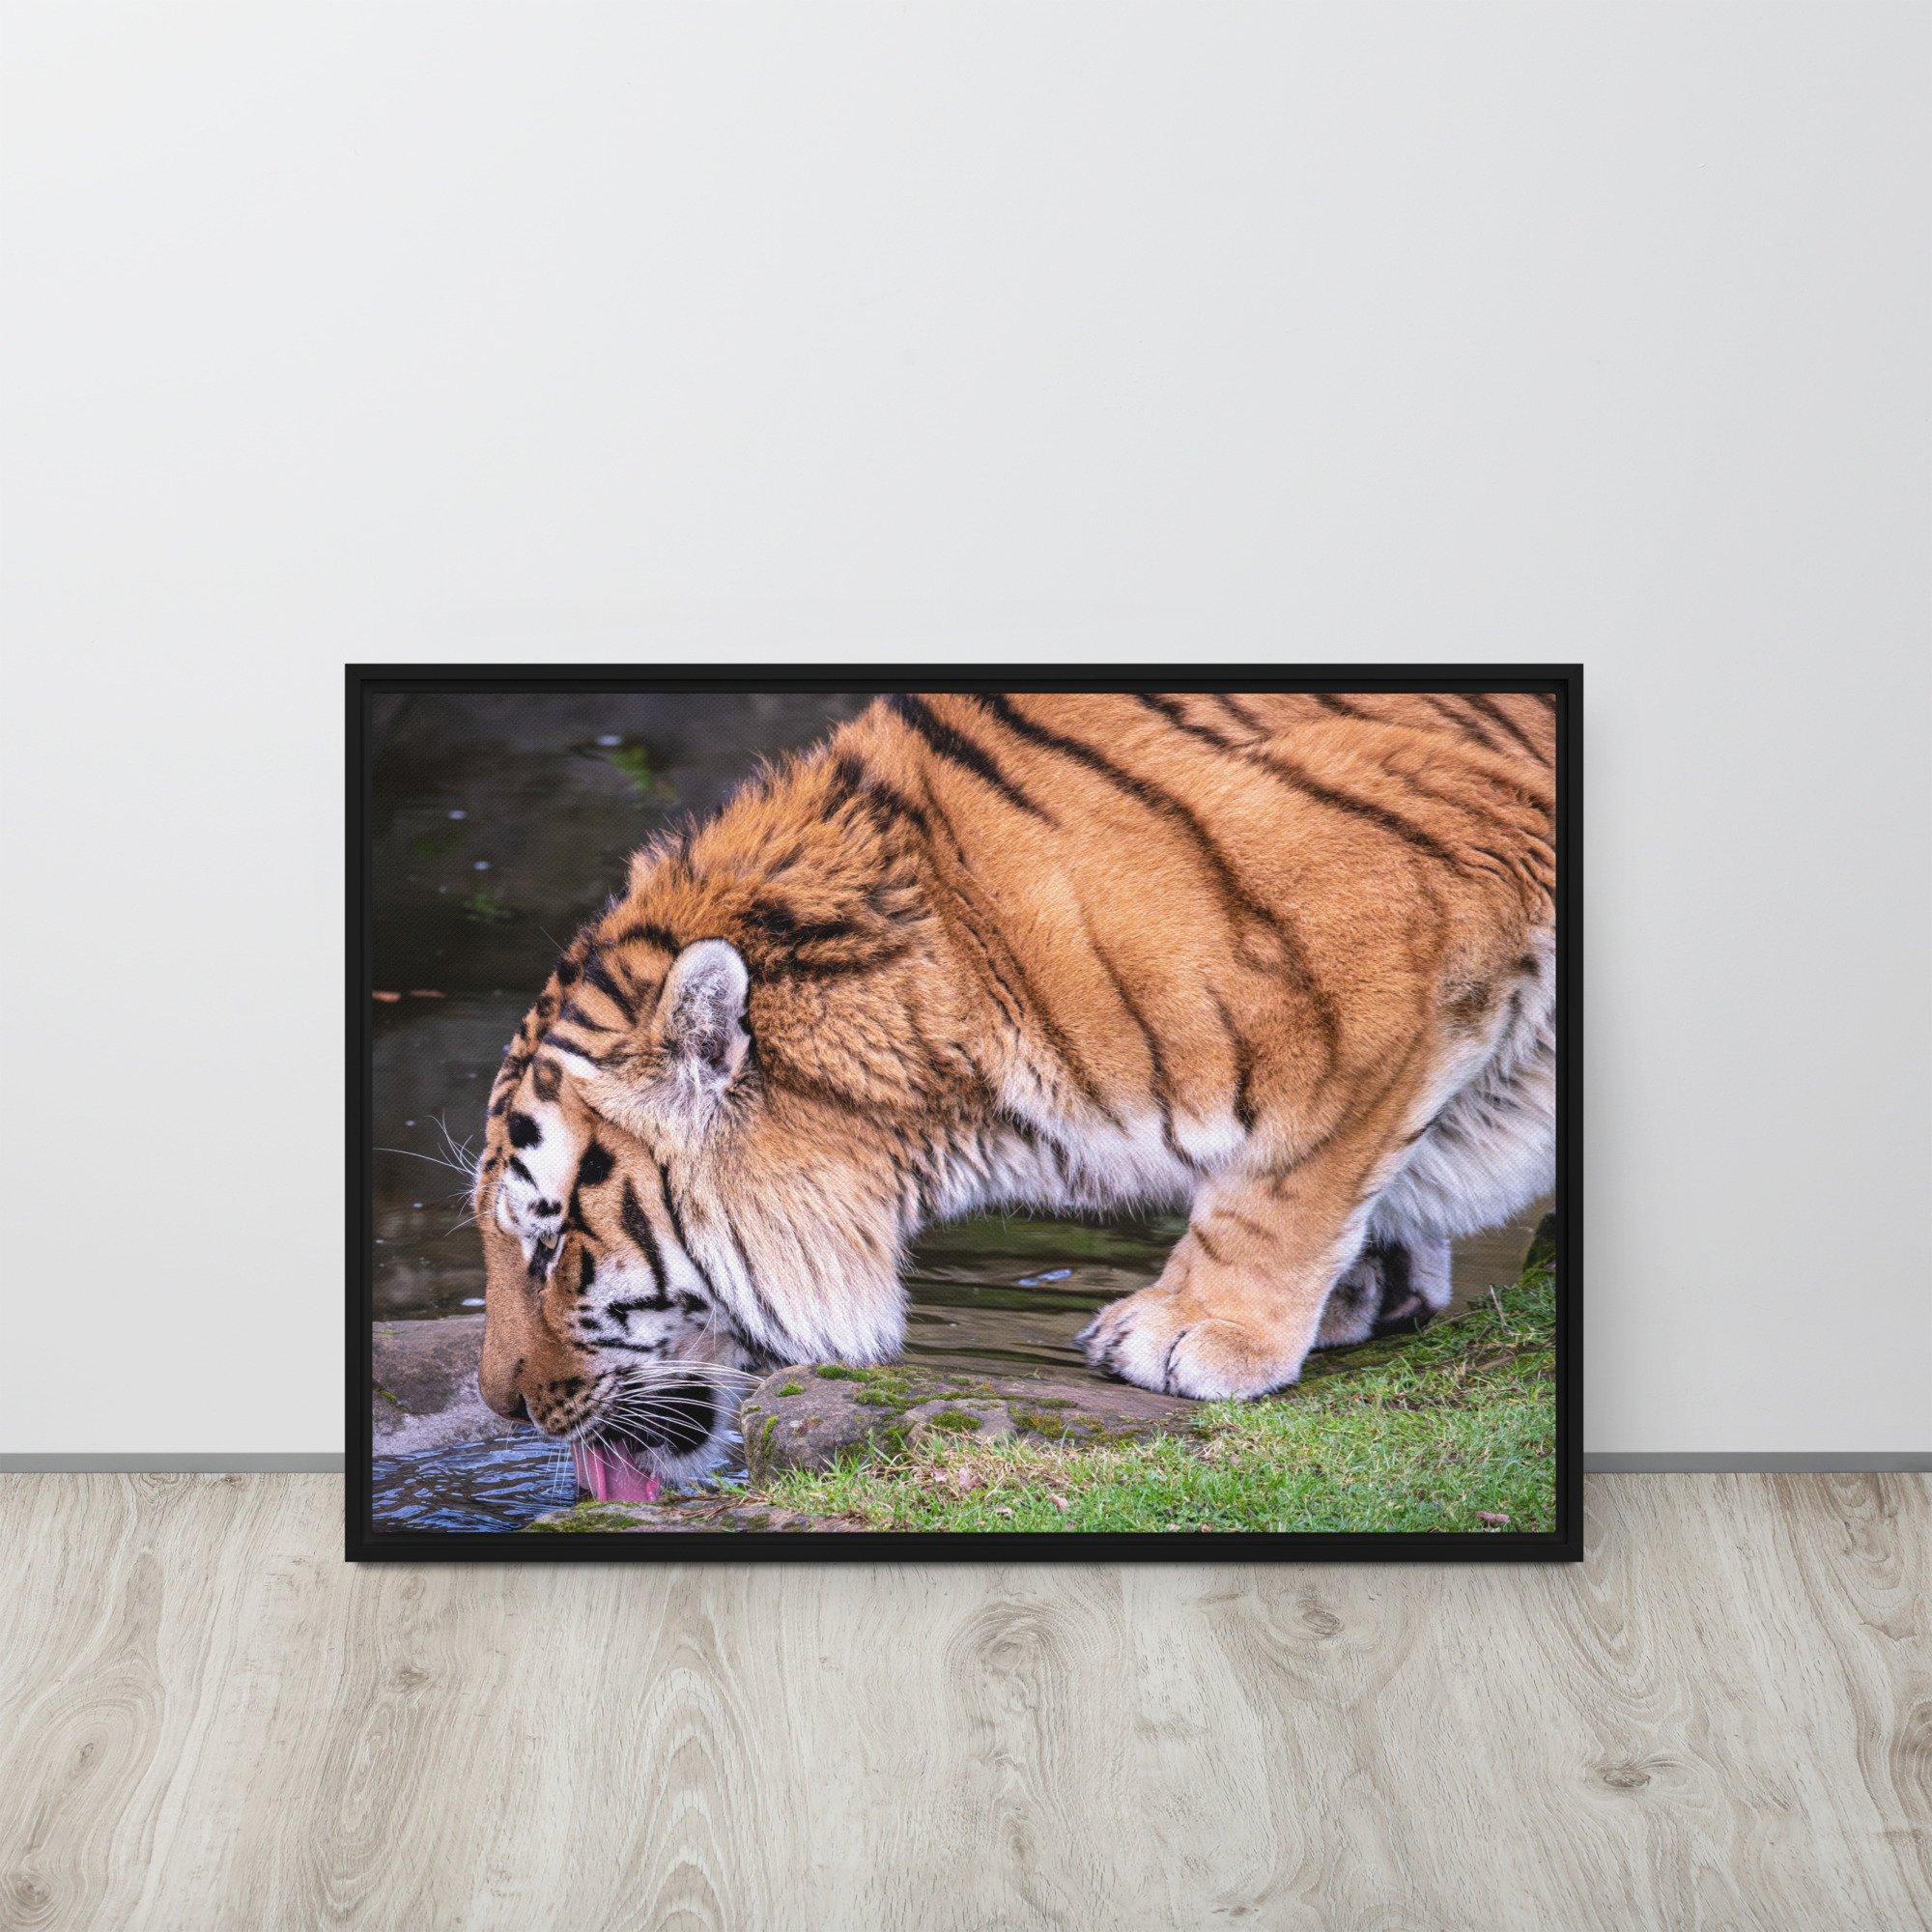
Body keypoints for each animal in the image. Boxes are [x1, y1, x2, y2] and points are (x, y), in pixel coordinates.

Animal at [472, 689, 1557, 1484]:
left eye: (548, 1243)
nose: (499, 1406)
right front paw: (1368, 1285)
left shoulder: (1393, 928)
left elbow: (1289, 1165)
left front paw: (1194, 1331)